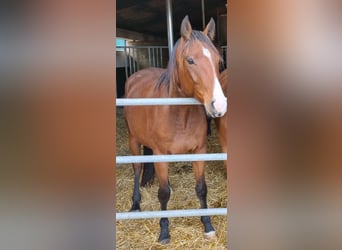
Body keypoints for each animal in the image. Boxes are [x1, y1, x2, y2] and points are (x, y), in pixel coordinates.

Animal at [123, 16, 227, 244]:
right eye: (190, 60)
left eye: (218, 60)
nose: (219, 105)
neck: (179, 114)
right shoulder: (160, 154)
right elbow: (162, 194)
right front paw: (164, 231)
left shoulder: (199, 152)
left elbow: (201, 189)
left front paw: (207, 225)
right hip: (133, 140)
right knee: (137, 169)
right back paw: (135, 205)